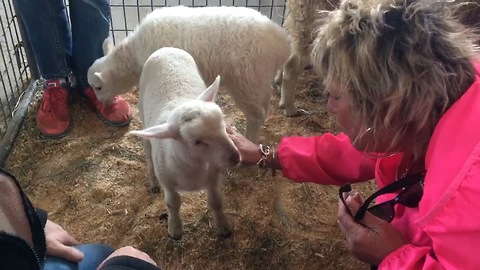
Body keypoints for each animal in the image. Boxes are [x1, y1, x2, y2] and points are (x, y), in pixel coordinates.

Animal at [88, 5, 290, 142]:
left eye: (98, 87)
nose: (103, 104)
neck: (133, 57)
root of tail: (281, 41)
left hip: (248, 81)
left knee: (256, 115)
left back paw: (249, 141)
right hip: (259, 80)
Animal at [129, 47, 240, 239]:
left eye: (222, 125)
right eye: (196, 142)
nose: (235, 157)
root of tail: (166, 48)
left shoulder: (213, 178)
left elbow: (216, 202)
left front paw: (223, 228)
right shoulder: (168, 184)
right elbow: (173, 204)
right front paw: (175, 229)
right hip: (144, 121)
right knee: (148, 155)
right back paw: (153, 183)